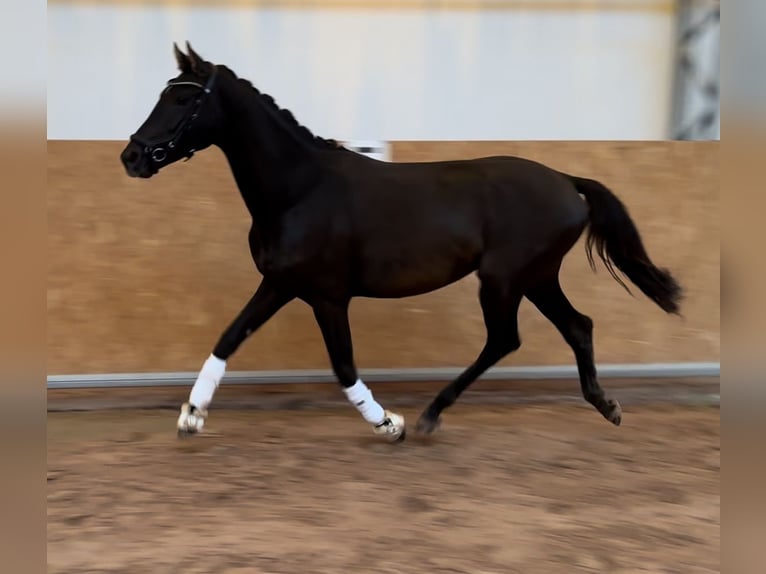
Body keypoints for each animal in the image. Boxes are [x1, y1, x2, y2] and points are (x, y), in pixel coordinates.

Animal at [120, 42, 684, 444]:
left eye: (185, 98)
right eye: (164, 92)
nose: (133, 157)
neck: (300, 189)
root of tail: (567, 181)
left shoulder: (327, 295)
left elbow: (343, 365)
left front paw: (389, 424)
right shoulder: (280, 285)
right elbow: (227, 339)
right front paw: (191, 417)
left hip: (504, 278)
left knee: (506, 339)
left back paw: (431, 414)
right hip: (537, 277)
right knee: (577, 326)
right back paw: (606, 406)